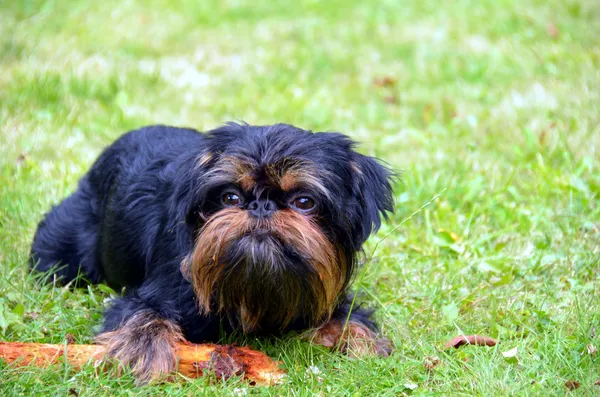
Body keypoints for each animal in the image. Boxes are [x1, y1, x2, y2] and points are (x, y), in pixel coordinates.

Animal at [29, 122, 394, 382]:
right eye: (230, 198)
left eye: (304, 202)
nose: (261, 206)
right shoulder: (151, 294)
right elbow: (142, 314)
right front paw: (142, 352)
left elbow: (353, 319)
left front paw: (366, 345)